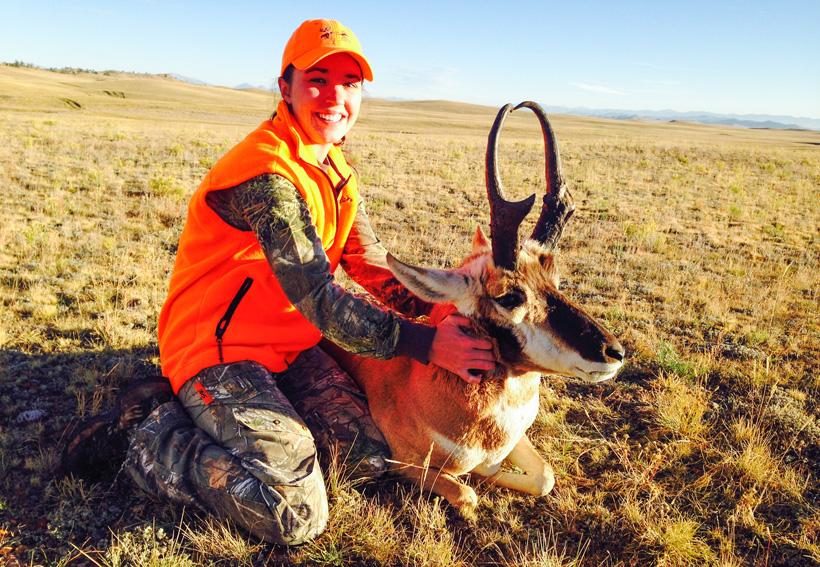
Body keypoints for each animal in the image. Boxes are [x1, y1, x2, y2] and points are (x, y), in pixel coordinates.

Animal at [328, 101, 625, 514]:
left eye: (555, 280)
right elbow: (467, 493)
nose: (614, 353)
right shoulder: (403, 463)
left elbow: (545, 477)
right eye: (510, 296)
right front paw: (479, 478)